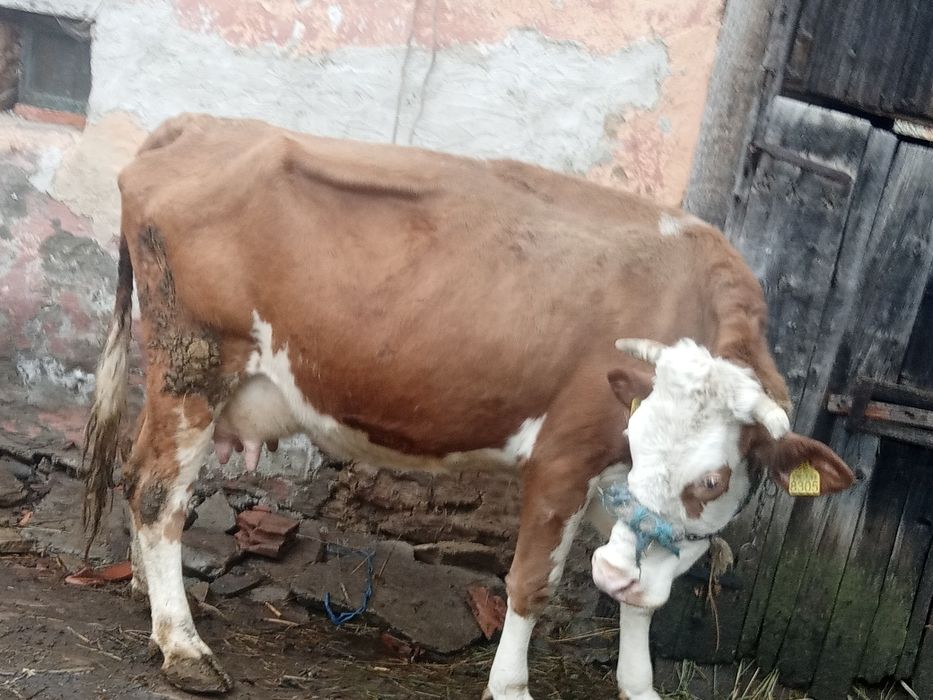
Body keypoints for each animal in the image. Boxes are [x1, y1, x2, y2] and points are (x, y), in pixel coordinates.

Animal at [82, 114, 854, 700]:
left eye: (711, 479)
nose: (610, 572)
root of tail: (199, 124)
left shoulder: (615, 487)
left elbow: (640, 601)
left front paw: (639, 685)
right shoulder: (564, 455)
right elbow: (531, 584)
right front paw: (509, 687)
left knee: (140, 478)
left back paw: (148, 601)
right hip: (195, 360)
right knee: (158, 493)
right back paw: (183, 647)